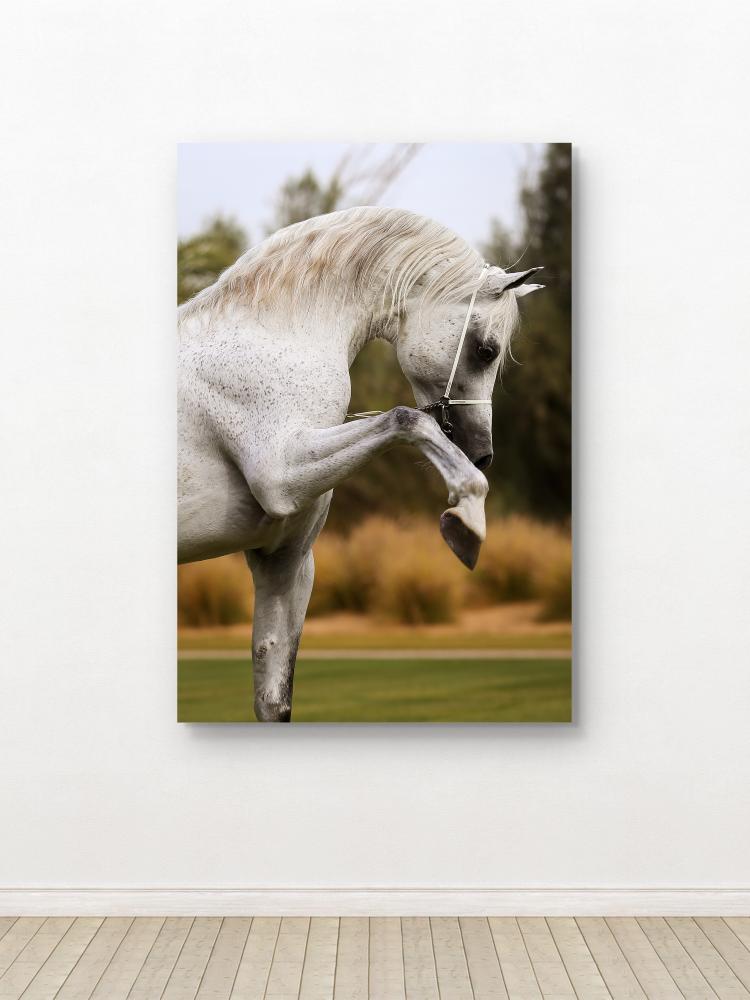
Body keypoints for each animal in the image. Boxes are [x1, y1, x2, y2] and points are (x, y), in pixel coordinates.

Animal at [178, 206, 543, 721]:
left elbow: (275, 700)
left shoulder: (285, 564)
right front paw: (466, 521)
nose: (483, 453)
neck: (272, 337)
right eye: (485, 350)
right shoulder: (282, 475)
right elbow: (406, 418)